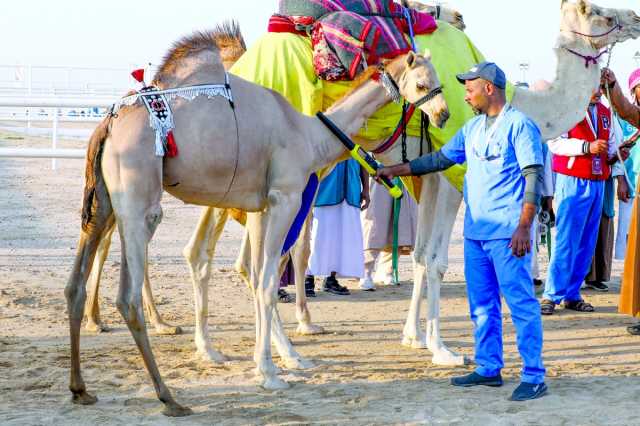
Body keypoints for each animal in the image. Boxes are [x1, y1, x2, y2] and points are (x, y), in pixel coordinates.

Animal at [63, 24, 444, 416]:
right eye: (421, 83)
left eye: (439, 80)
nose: (443, 114)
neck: (310, 136)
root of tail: (106, 126)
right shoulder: (285, 198)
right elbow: (268, 281)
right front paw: (271, 372)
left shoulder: (261, 207)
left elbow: (259, 276)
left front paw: (272, 362)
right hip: (139, 199)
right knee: (128, 296)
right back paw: (168, 396)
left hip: (104, 203)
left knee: (75, 284)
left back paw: (81, 389)